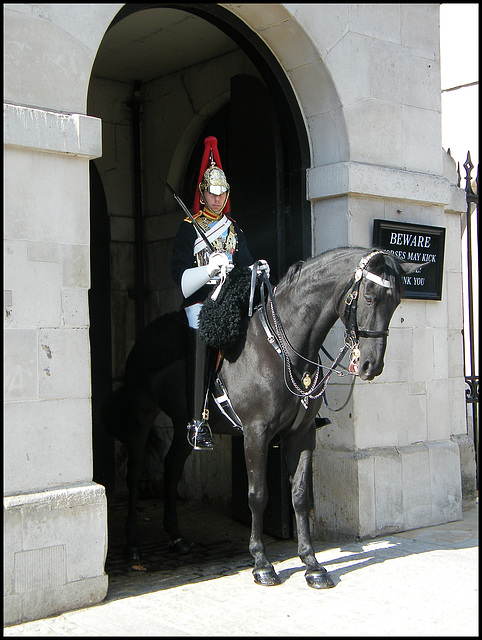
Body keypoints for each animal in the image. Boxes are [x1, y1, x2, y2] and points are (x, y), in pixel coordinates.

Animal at [101, 248, 422, 588]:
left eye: (397, 301)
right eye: (370, 297)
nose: (371, 365)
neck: (284, 346)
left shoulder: (302, 434)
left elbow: (299, 496)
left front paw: (312, 564)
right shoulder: (256, 433)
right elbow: (258, 495)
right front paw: (261, 563)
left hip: (185, 426)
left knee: (172, 468)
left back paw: (176, 537)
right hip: (140, 417)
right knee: (135, 473)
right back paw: (133, 544)